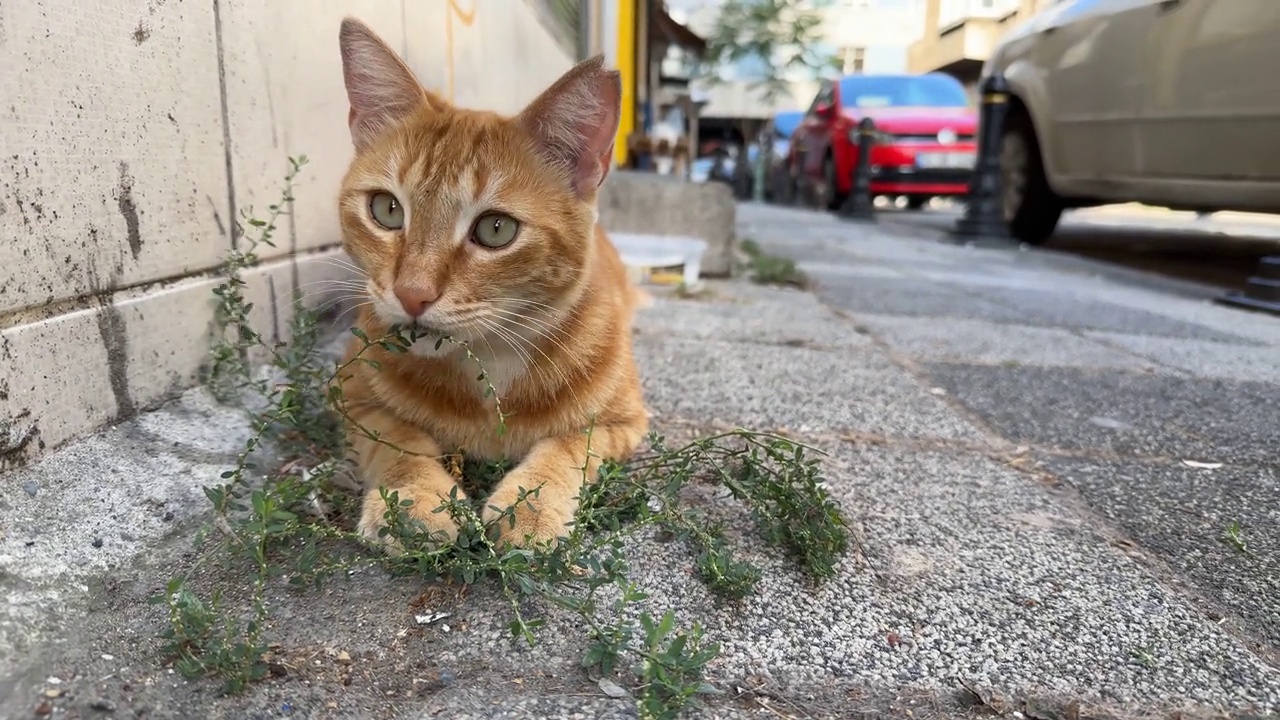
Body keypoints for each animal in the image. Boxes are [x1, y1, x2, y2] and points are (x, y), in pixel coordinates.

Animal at [330, 16, 650, 545]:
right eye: (386, 209)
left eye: (496, 229)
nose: (411, 294)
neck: (489, 367)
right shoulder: (350, 398)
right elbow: (397, 439)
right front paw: (415, 498)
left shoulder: (623, 422)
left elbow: (569, 443)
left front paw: (532, 506)